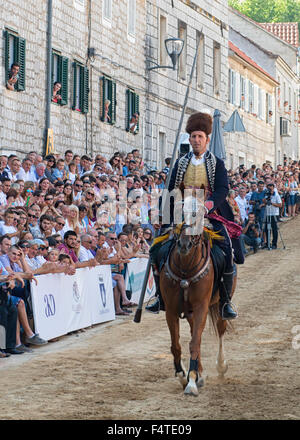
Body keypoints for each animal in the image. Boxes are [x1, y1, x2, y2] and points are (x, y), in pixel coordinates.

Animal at [159, 222, 237, 398]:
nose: (184, 244)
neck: (185, 270)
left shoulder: (201, 306)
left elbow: (194, 343)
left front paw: (192, 381)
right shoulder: (171, 310)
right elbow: (176, 345)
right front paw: (183, 376)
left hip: (220, 304)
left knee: (219, 330)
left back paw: (220, 366)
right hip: (190, 313)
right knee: (195, 333)